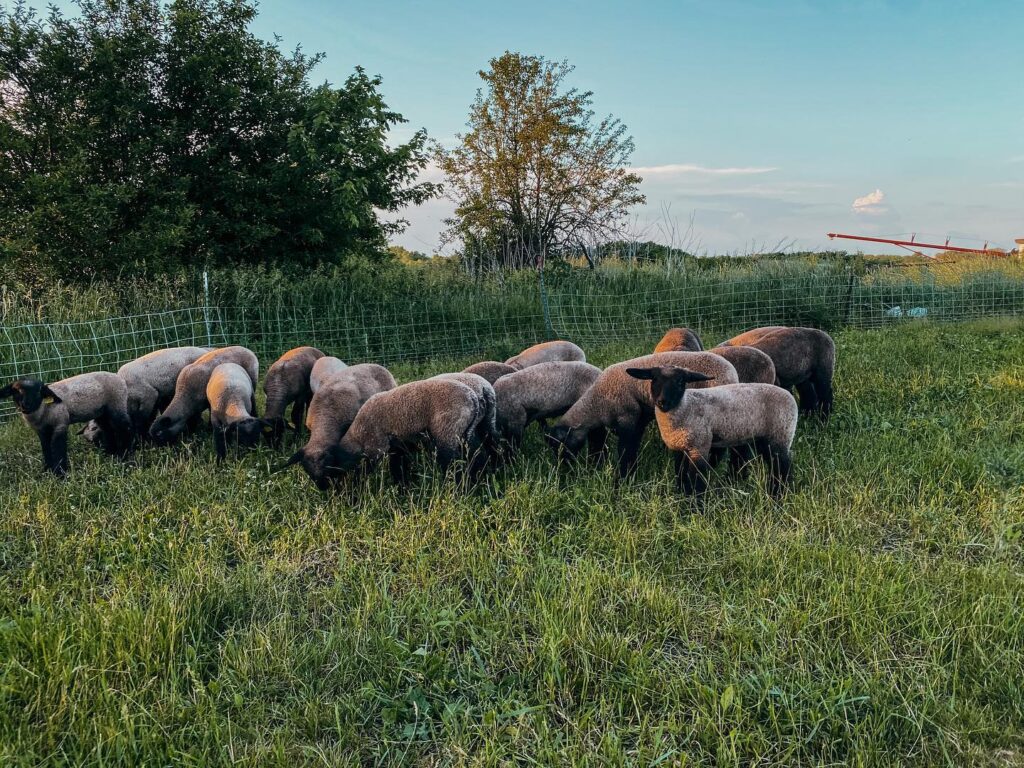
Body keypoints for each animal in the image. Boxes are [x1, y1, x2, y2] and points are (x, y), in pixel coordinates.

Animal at [0, 372, 132, 475]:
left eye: (38, 392)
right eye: (15, 391)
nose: (25, 406)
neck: (44, 409)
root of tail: (120, 378)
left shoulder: (60, 423)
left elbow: (59, 448)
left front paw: (60, 474)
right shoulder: (42, 431)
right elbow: (46, 448)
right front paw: (48, 470)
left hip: (117, 405)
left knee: (125, 428)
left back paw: (124, 455)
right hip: (101, 411)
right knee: (108, 429)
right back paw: (110, 453)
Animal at [544, 354, 737, 481]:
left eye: (560, 445)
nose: (564, 469)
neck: (597, 404)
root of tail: (731, 372)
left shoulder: (627, 419)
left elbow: (625, 450)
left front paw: (623, 478)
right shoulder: (637, 422)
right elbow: (631, 448)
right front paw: (631, 471)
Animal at [622, 364, 798, 499]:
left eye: (680, 382)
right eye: (654, 379)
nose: (663, 402)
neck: (687, 406)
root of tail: (789, 396)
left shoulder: (700, 446)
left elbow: (697, 480)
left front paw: (696, 507)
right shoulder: (681, 447)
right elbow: (681, 474)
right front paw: (681, 496)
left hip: (781, 434)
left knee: (783, 466)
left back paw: (778, 496)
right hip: (762, 438)